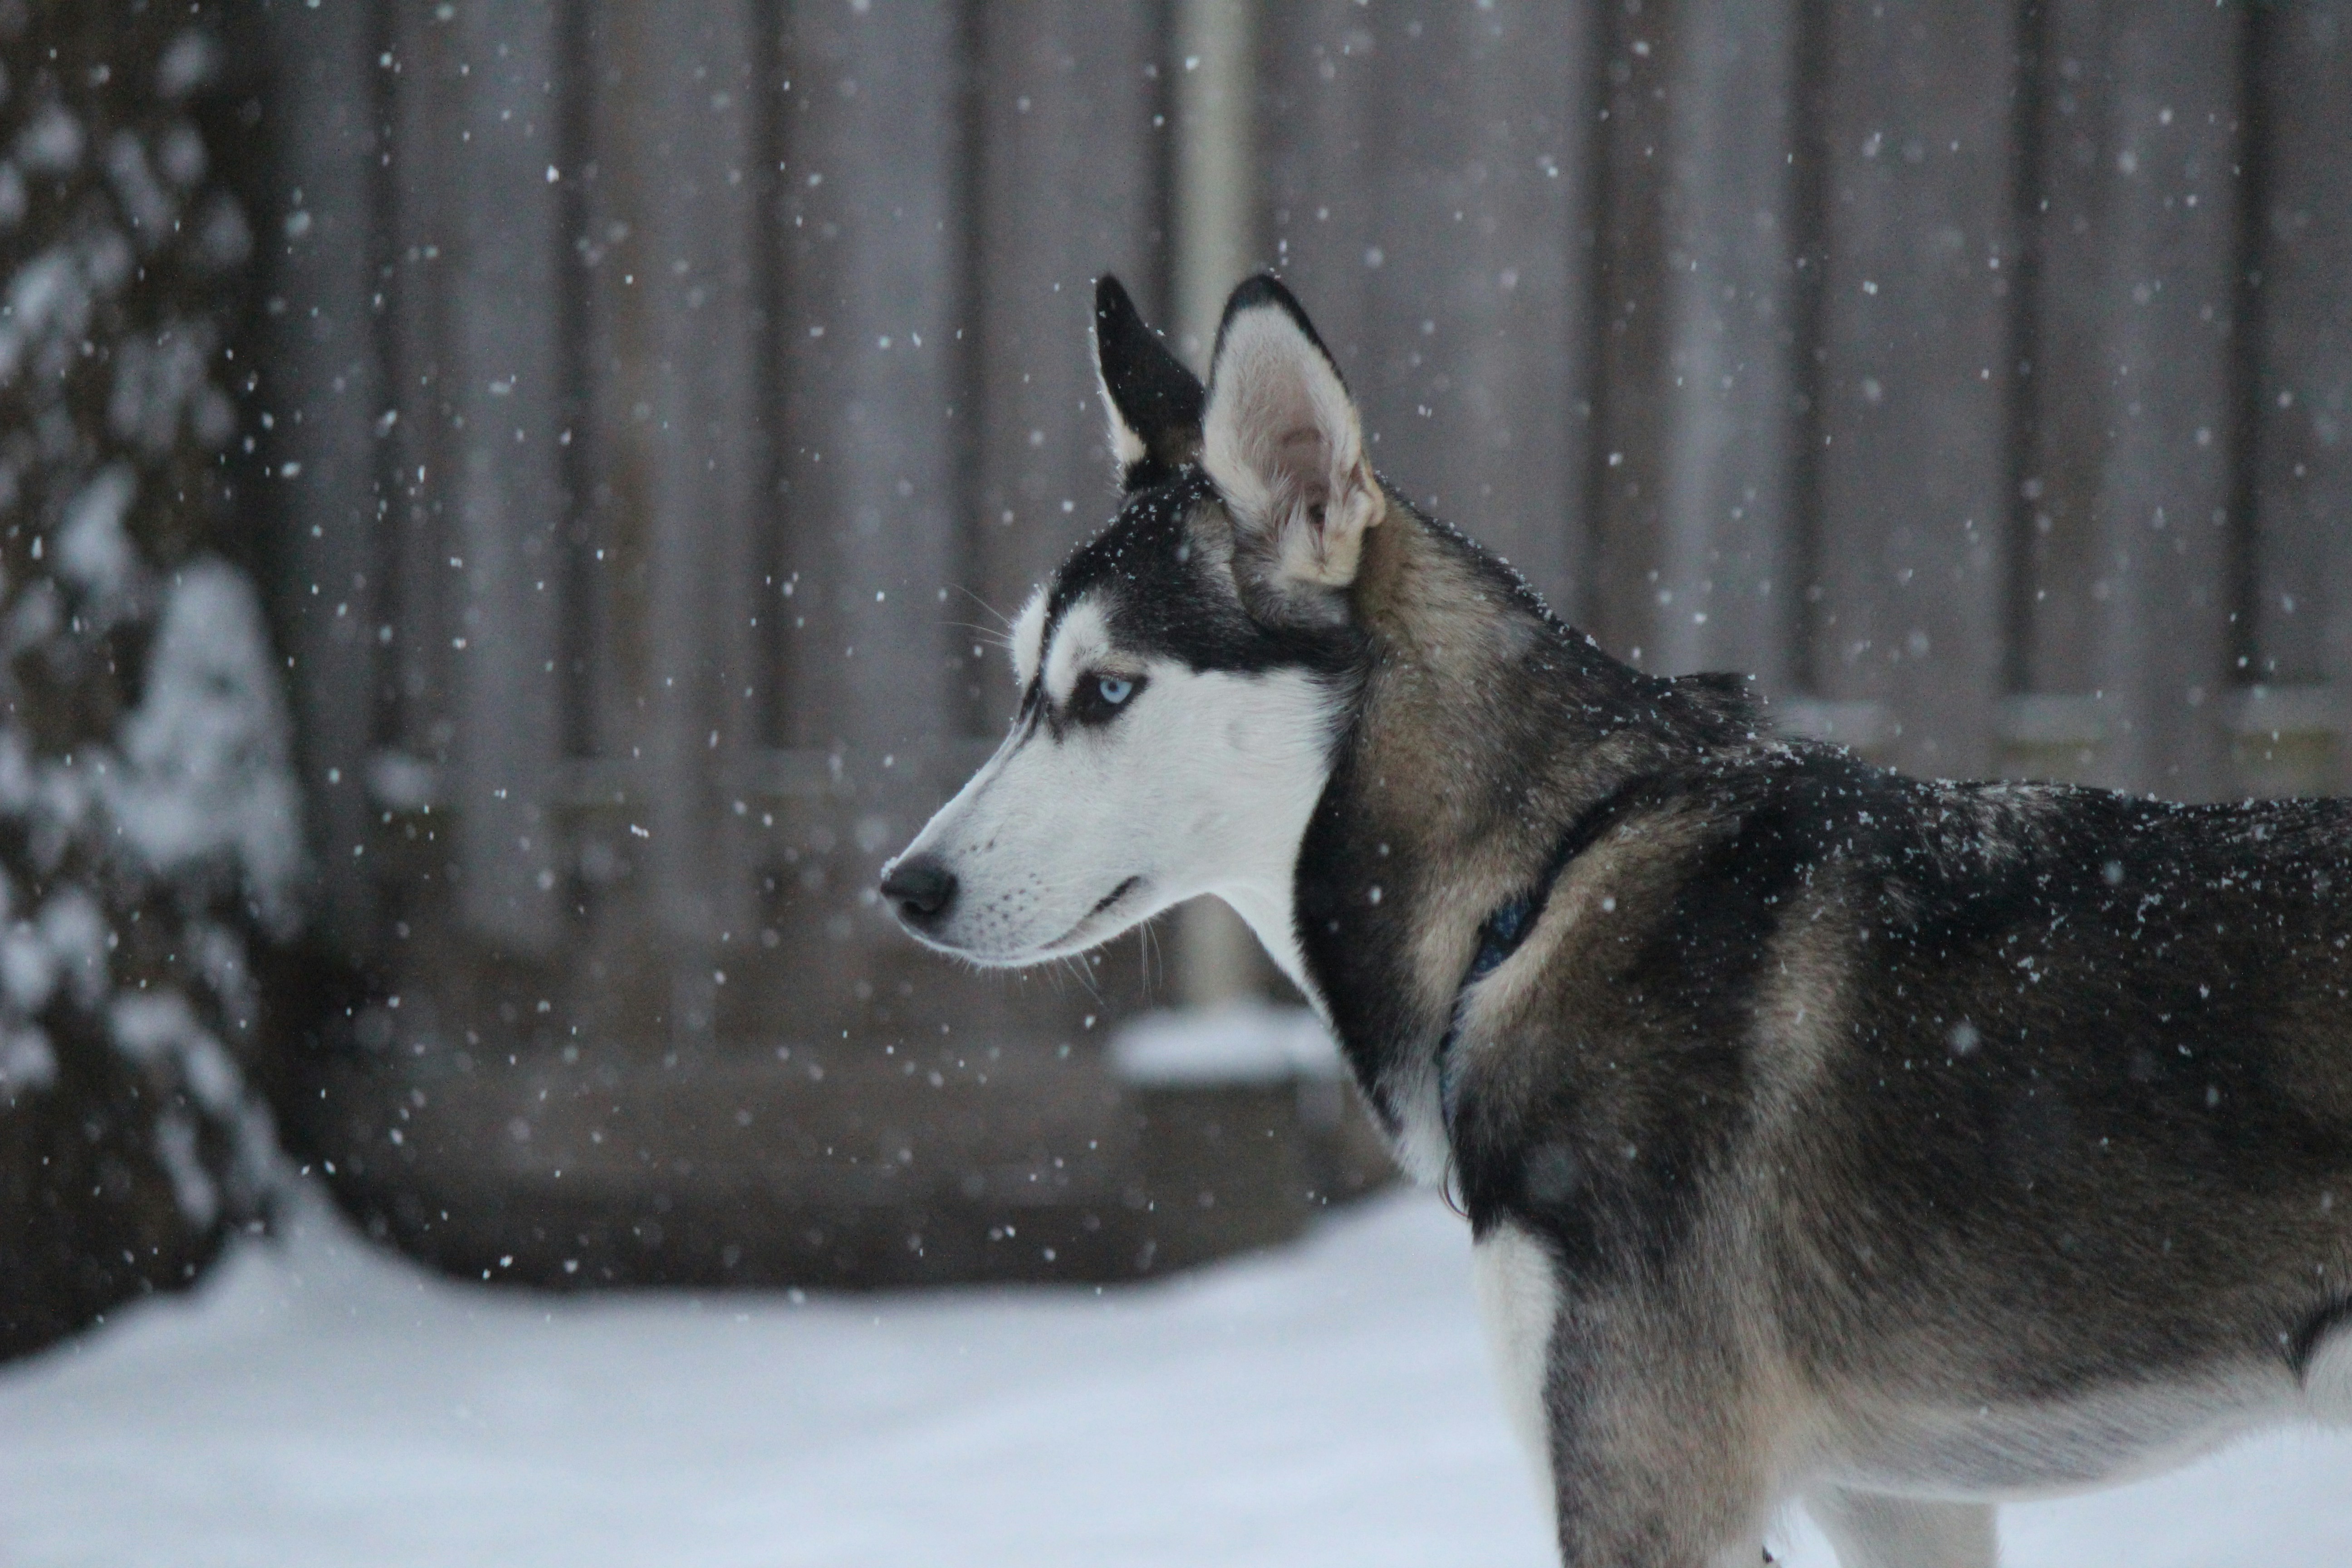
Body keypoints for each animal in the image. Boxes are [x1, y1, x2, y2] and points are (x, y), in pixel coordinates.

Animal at [884, 276, 2352, 1561]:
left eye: (1107, 692)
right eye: (1024, 685)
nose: (903, 888)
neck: (1526, 894)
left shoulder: (1650, 1478)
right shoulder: (1896, 1499)